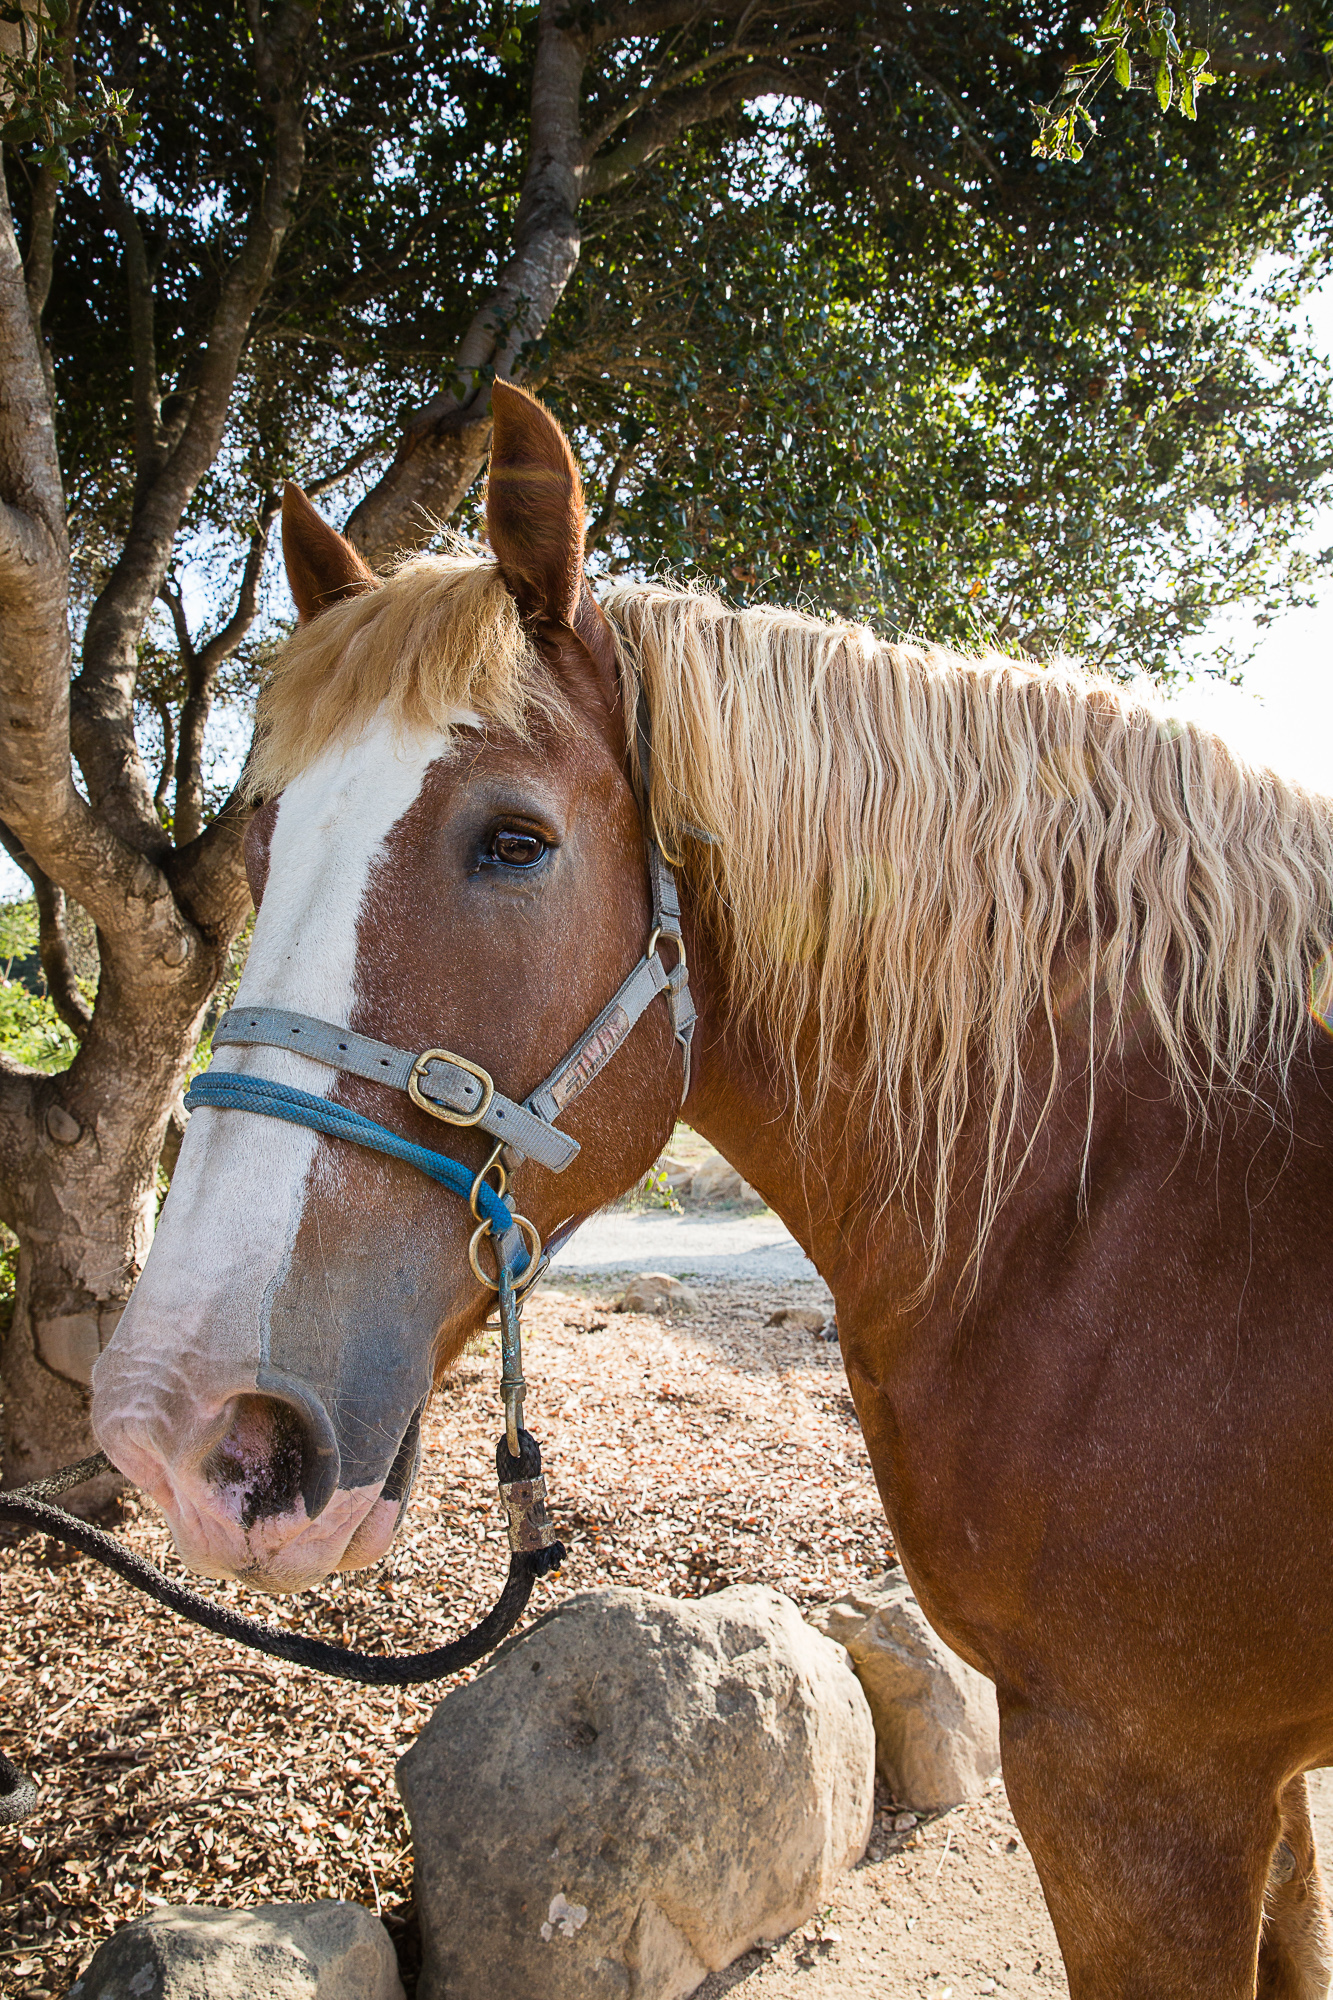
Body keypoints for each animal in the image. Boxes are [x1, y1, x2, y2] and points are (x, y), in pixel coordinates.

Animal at [91, 382, 1328, 1992]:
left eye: (515, 841)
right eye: (262, 835)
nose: (183, 1427)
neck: (1137, 1210)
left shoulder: (1144, 1778)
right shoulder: (1251, 1775)